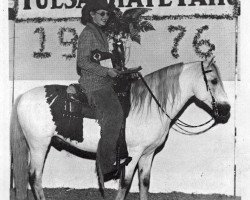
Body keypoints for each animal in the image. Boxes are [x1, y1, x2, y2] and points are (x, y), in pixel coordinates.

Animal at [11, 56, 230, 200]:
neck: (151, 106)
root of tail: (23, 97)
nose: (226, 109)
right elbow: (125, 185)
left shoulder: (148, 154)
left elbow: (144, 183)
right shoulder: (133, 153)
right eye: (213, 81)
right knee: (35, 176)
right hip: (39, 145)